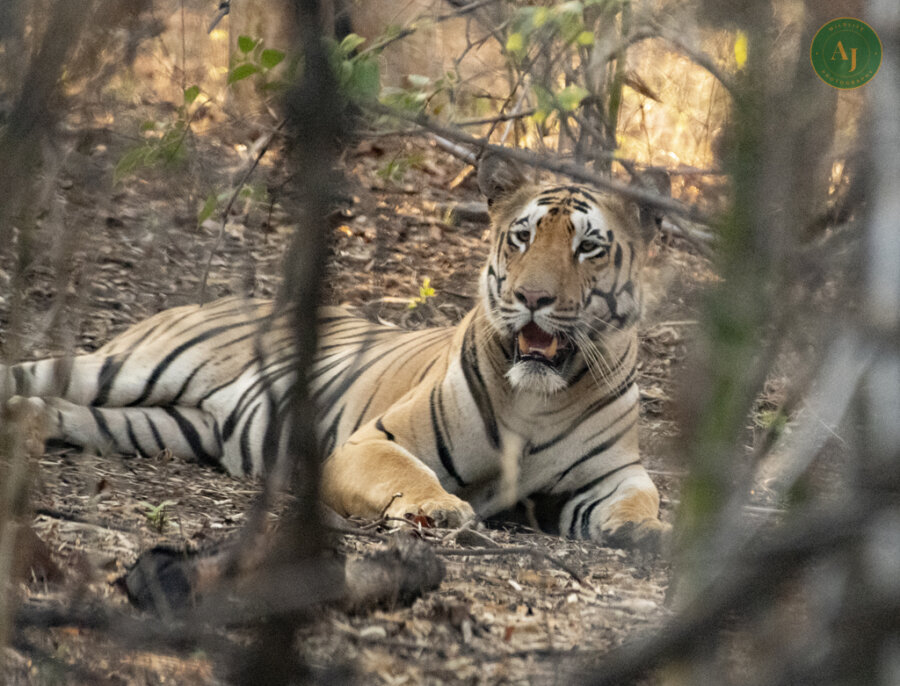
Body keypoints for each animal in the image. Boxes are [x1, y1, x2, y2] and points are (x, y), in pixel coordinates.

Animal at [3, 157, 668, 552]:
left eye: (588, 247)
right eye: (522, 237)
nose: (532, 298)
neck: (536, 396)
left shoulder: (612, 473)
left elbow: (644, 495)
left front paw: (646, 531)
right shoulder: (370, 442)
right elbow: (408, 474)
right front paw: (440, 510)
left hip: (160, 426)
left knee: (58, 411)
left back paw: (23, 425)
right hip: (126, 369)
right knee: (28, 374)